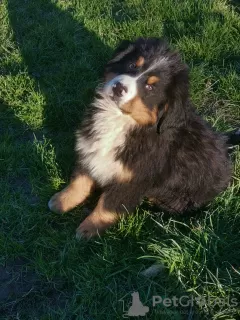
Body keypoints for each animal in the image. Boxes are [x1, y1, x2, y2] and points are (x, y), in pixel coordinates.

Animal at [47, 37, 239, 238]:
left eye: (150, 86)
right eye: (132, 65)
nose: (118, 87)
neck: (121, 121)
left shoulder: (133, 180)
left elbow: (107, 206)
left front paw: (88, 229)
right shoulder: (90, 150)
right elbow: (79, 181)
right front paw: (61, 201)